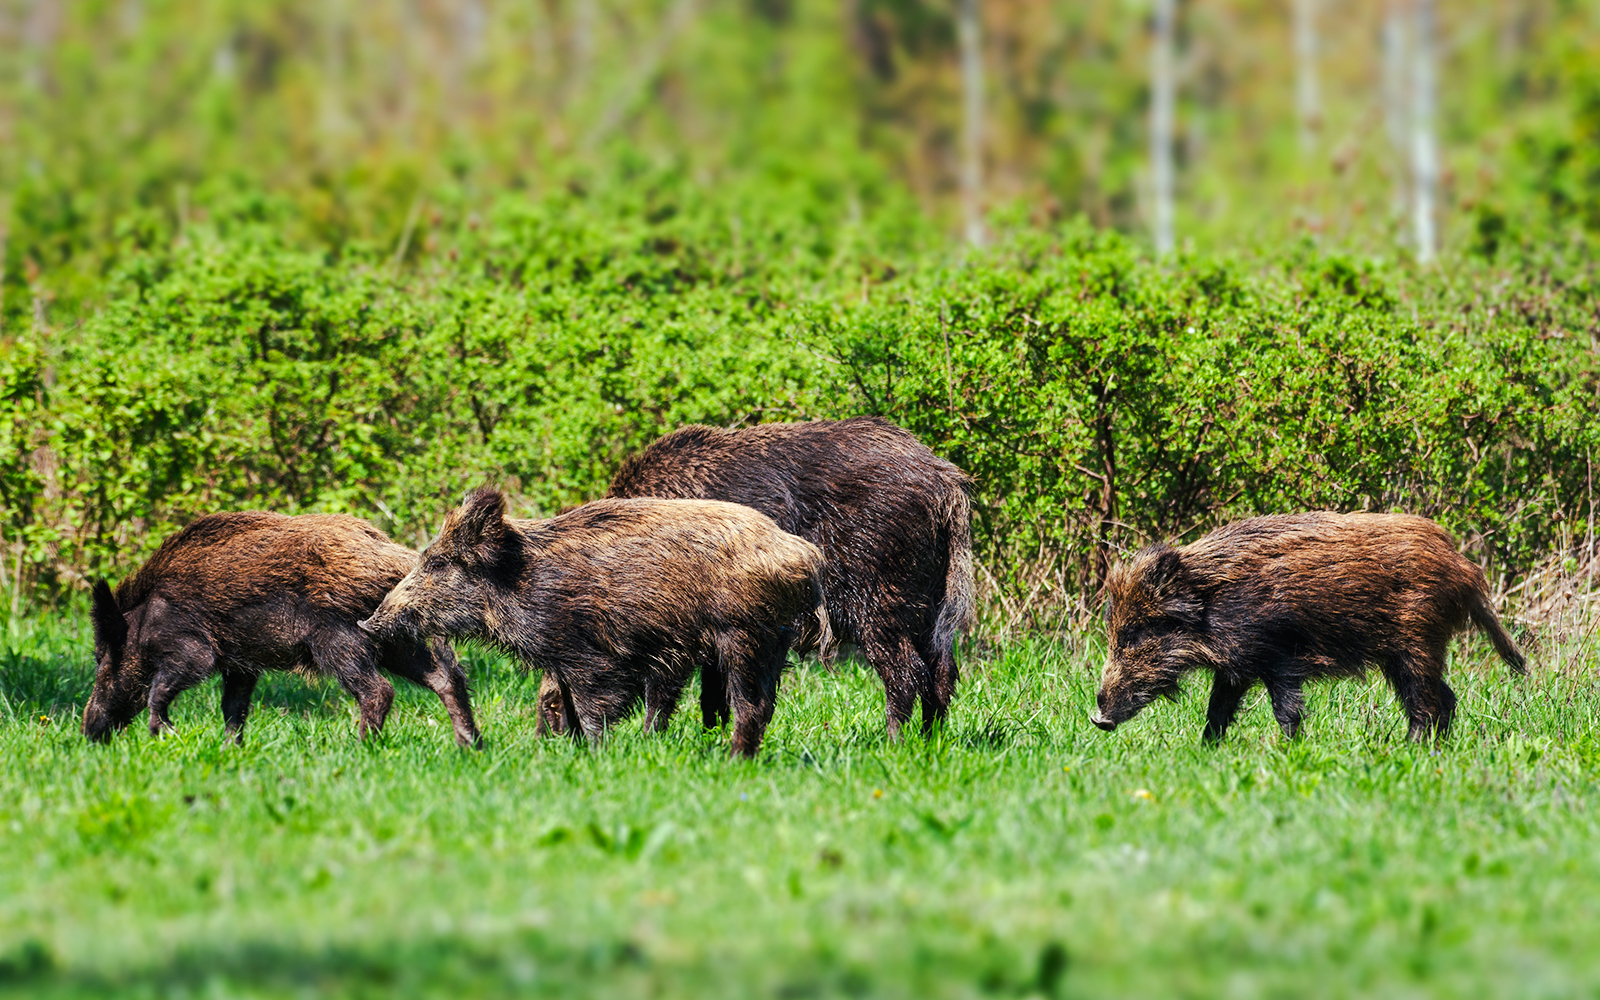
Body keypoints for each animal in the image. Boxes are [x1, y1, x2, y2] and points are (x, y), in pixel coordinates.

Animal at [83, 511, 480, 747]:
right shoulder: (241, 665)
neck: (144, 619)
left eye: (104, 657)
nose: (89, 730)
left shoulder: (193, 649)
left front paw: (164, 735)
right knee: (445, 678)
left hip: (339, 639)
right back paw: (469, 744)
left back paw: (360, 747)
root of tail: (397, 561)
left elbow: (161, 689)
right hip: (394, 638)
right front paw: (230, 749)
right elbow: (233, 707)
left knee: (379, 690)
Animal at [358, 489, 827, 757]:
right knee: (763, 705)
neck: (519, 582)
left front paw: (597, 756)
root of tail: (804, 554)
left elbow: (591, 708)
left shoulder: (591, 658)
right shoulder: (570, 661)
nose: (368, 623)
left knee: (749, 705)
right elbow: (565, 704)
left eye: (438, 562)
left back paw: (732, 760)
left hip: (743, 635)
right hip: (774, 639)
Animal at [538, 417, 974, 740]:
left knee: (905, 672)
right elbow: (713, 696)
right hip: (929, 598)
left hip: (877, 597)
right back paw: (929, 739)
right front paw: (709, 739)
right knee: (942, 672)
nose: (546, 743)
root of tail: (946, 483)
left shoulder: (677, 628)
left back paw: (893, 740)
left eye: (552, 703)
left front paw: (652, 740)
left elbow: (666, 692)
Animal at [1091, 511, 1526, 743]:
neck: (1211, 603)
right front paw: (1205, 751)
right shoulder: (1238, 668)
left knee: (1426, 703)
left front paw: (1289, 749)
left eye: (1139, 632)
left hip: (1418, 642)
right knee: (1445, 700)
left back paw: (1410, 748)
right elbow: (1218, 711)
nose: (1099, 718)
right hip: (1402, 653)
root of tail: (1467, 569)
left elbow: (1286, 710)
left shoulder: (1279, 657)